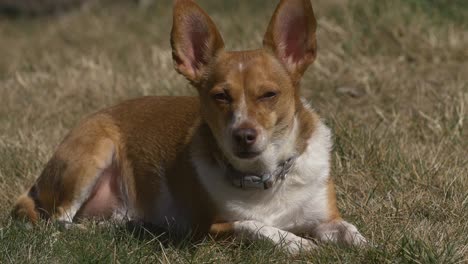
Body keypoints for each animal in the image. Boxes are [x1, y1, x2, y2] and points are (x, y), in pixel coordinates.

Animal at [11, 0, 366, 253]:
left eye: (269, 95)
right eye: (221, 96)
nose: (244, 135)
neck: (263, 178)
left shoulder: (326, 218)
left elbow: (349, 230)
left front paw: (358, 242)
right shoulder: (211, 229)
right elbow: (255, 226)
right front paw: (295, 242)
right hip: (94, 152)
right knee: (56, 222)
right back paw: (82, 231)